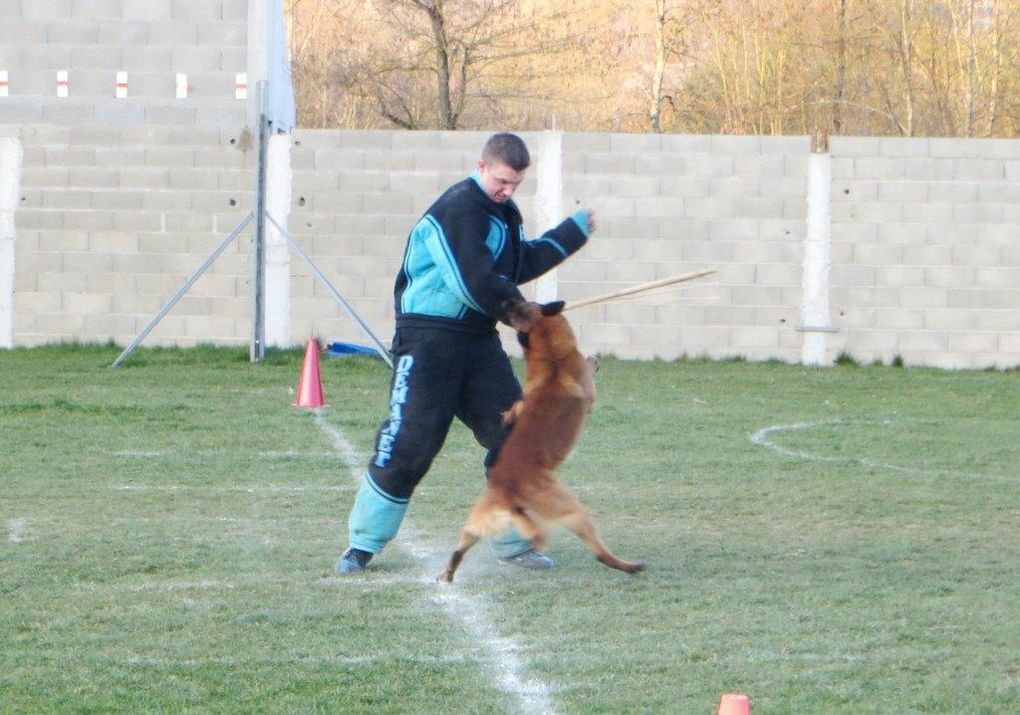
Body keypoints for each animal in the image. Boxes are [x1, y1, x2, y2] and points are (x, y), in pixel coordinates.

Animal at [438, 297, 644, 583]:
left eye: (521, 304)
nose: (507, 300)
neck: (552, 360)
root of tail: (505, 489)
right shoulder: (589, 394)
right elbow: (589, 372)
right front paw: (592, 359)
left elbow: (514, 408)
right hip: (571, 510)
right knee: (599, 553)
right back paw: (631, 566)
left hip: (478, 521)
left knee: (461, 546)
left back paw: (447, 573)